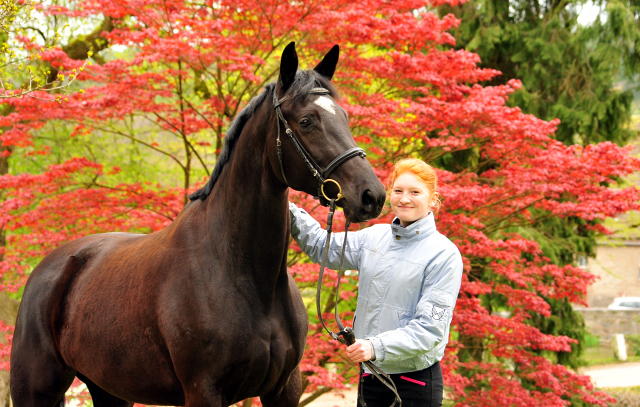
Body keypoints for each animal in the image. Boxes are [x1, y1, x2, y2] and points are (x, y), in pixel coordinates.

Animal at [8, 41, 384, 407]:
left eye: (344, 117)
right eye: (306, 121)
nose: (372, 195)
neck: (239, 269)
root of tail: (48, 268)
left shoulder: (285, 388)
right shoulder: (204, 390)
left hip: (110, 390)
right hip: (35, 391)